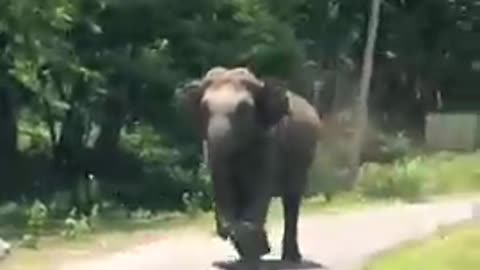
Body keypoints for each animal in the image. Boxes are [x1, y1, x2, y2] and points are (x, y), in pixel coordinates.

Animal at [177, 66, 322, 266]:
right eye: (204, 109)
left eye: (243, 110)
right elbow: (226, 187)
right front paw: (250, 248)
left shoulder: (269, 142)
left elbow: (259, 190)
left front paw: (257, 246)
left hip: (303, 159)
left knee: (291, 200)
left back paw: (291, 259)